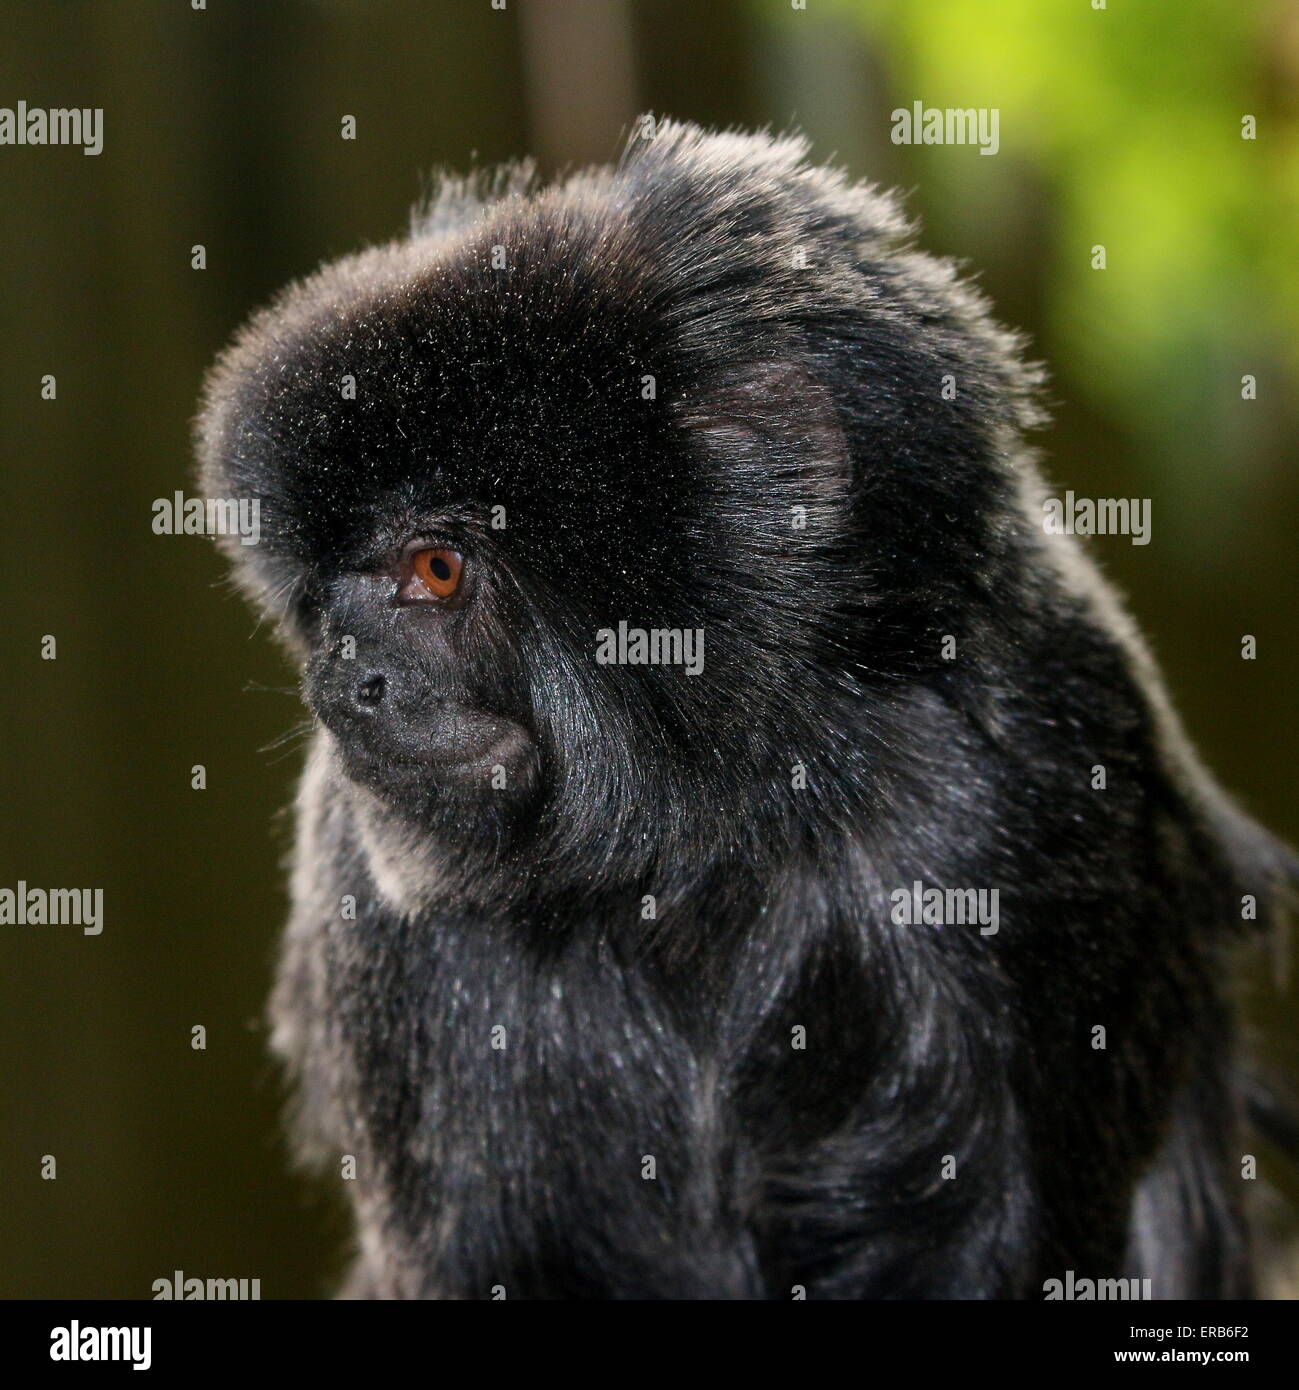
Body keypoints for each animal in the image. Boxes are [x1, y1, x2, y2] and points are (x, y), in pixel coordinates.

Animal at [198, 119, 1294, 1301]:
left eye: (436, 570)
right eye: (323, 605)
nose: (344, 683)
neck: (714, 835)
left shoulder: (1032, 775)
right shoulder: (372, 903)